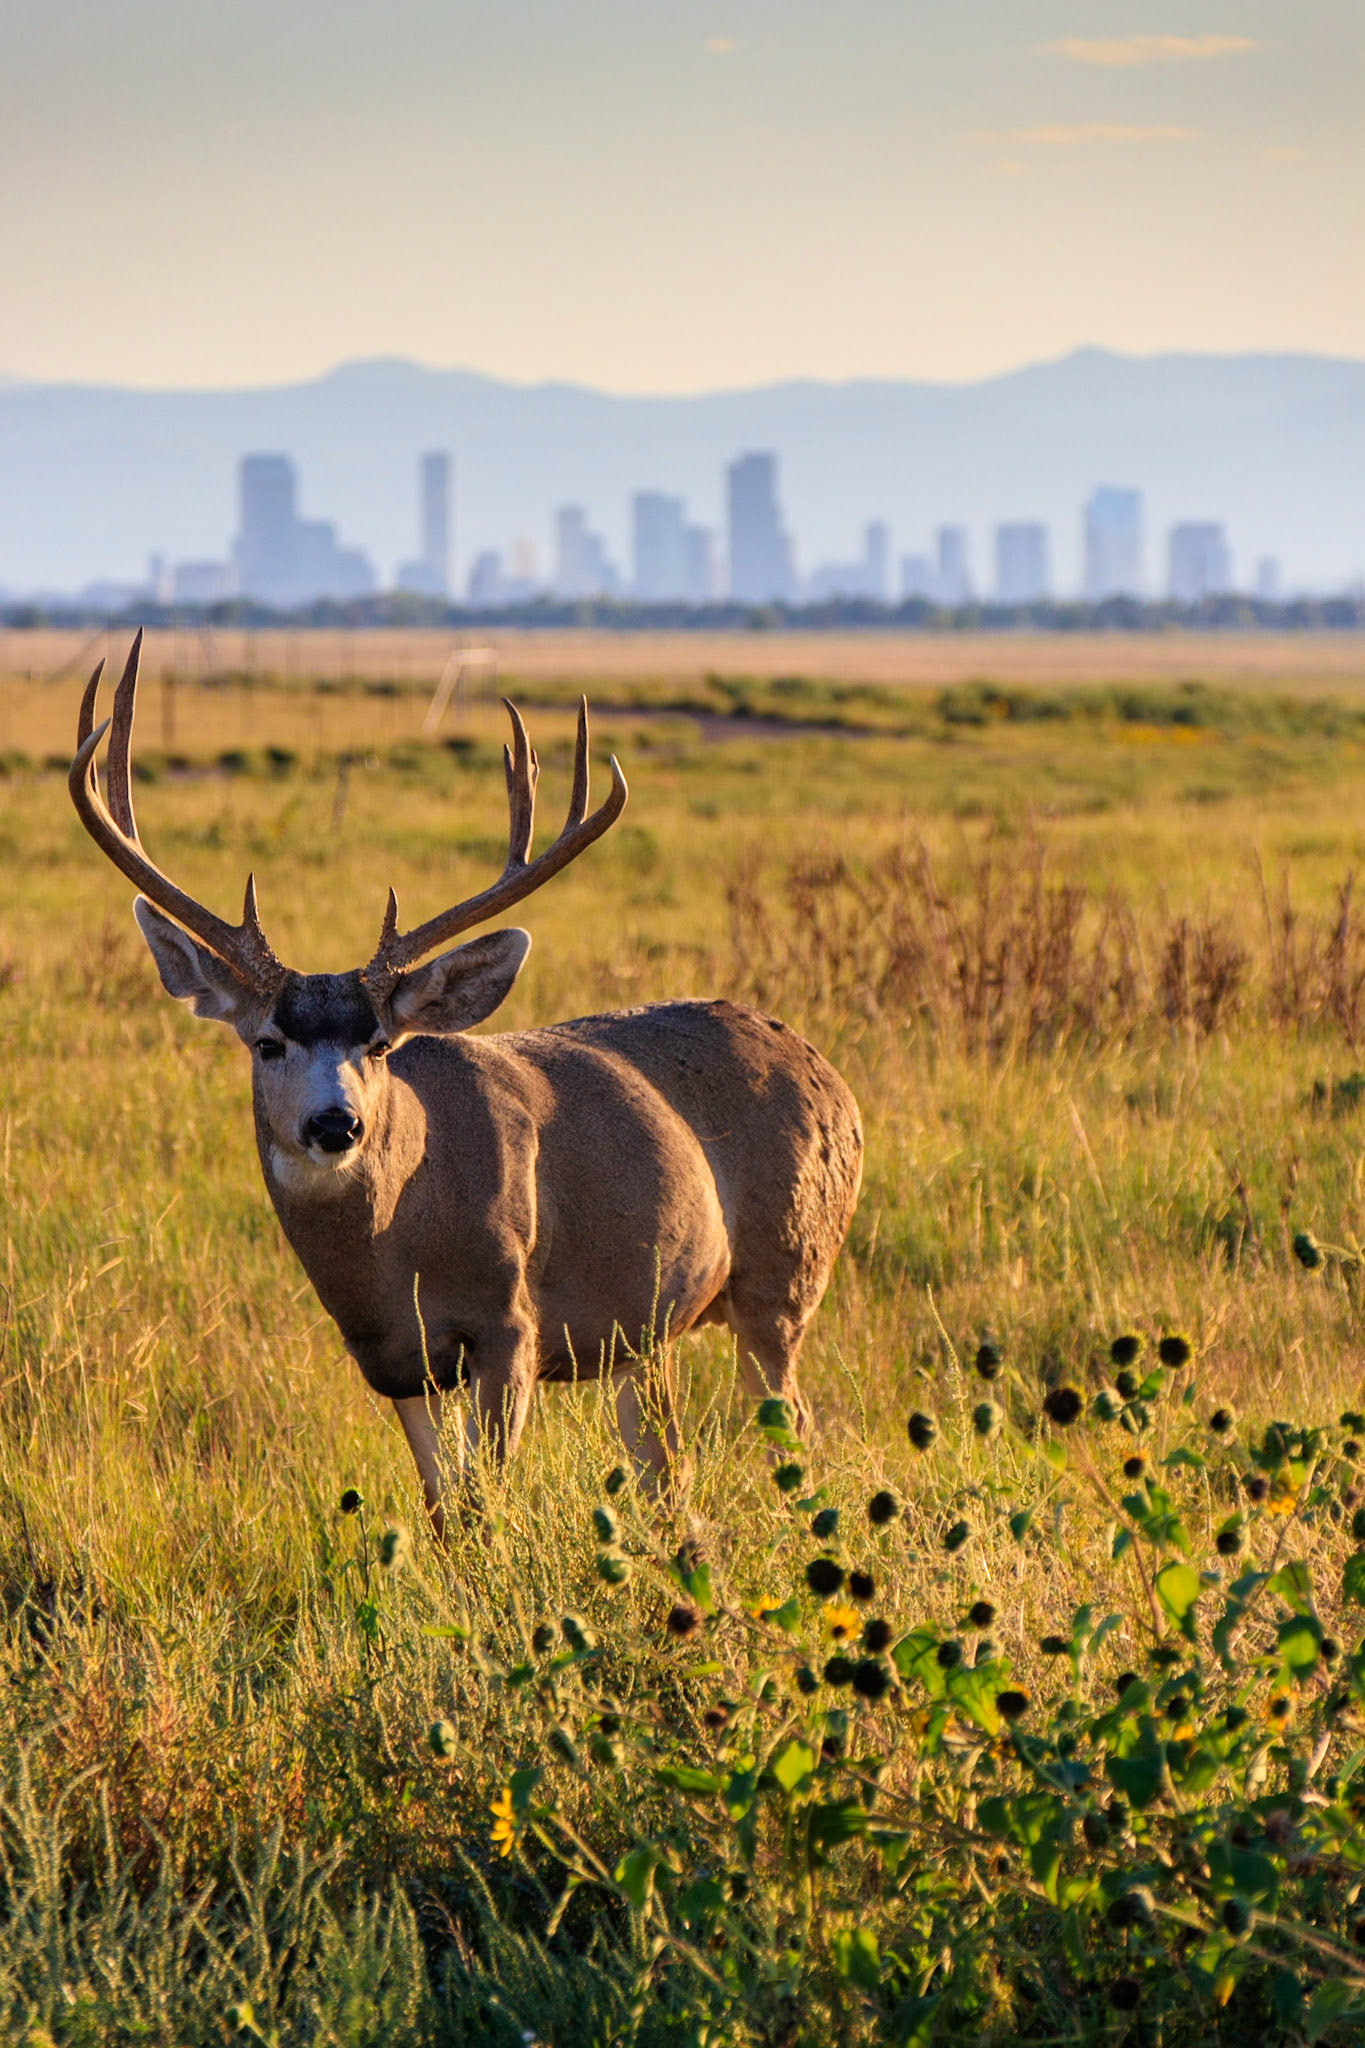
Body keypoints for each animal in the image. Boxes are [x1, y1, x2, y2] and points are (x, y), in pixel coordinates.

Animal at [70, 634, 863, 1538]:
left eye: (381, 1044)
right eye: (267, 1042)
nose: (335, 1124)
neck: (400, 1245)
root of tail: (830, 1075)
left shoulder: (508, 1323)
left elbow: (485, 1503)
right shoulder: (392, 1360)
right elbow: (444, 1508)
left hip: (787, 1271)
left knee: (789, 1423)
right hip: (643, 1331)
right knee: (666, 1465)